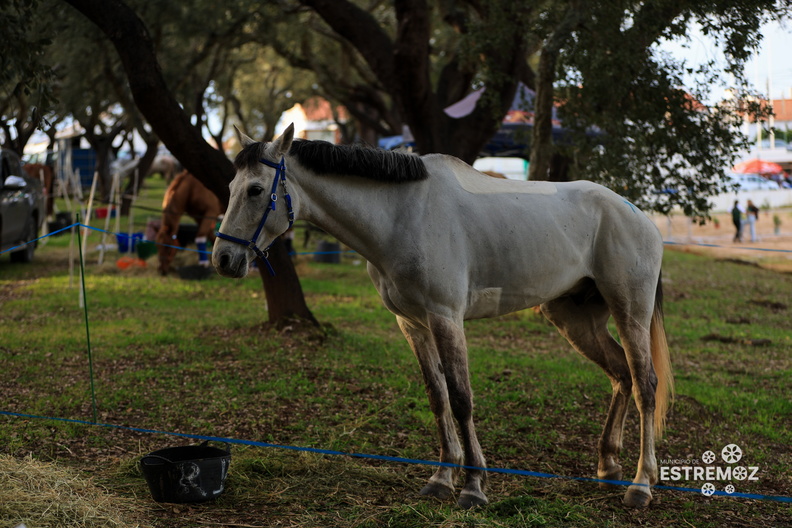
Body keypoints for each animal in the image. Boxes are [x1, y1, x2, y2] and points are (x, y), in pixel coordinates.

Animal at [213, 124, 672, 508]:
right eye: (231, 185)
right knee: (621, 375)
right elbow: (438, 398)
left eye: (256, 190)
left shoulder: (445, 318)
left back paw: (640, 485)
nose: (223, 258)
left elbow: (461, 398)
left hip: (629, 312)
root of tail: (635, 213)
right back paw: (609, 465)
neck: (402, 214)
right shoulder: (413, 324)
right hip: (576, 320)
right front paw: (440, 479)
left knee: (645, 384)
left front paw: (472, 487)